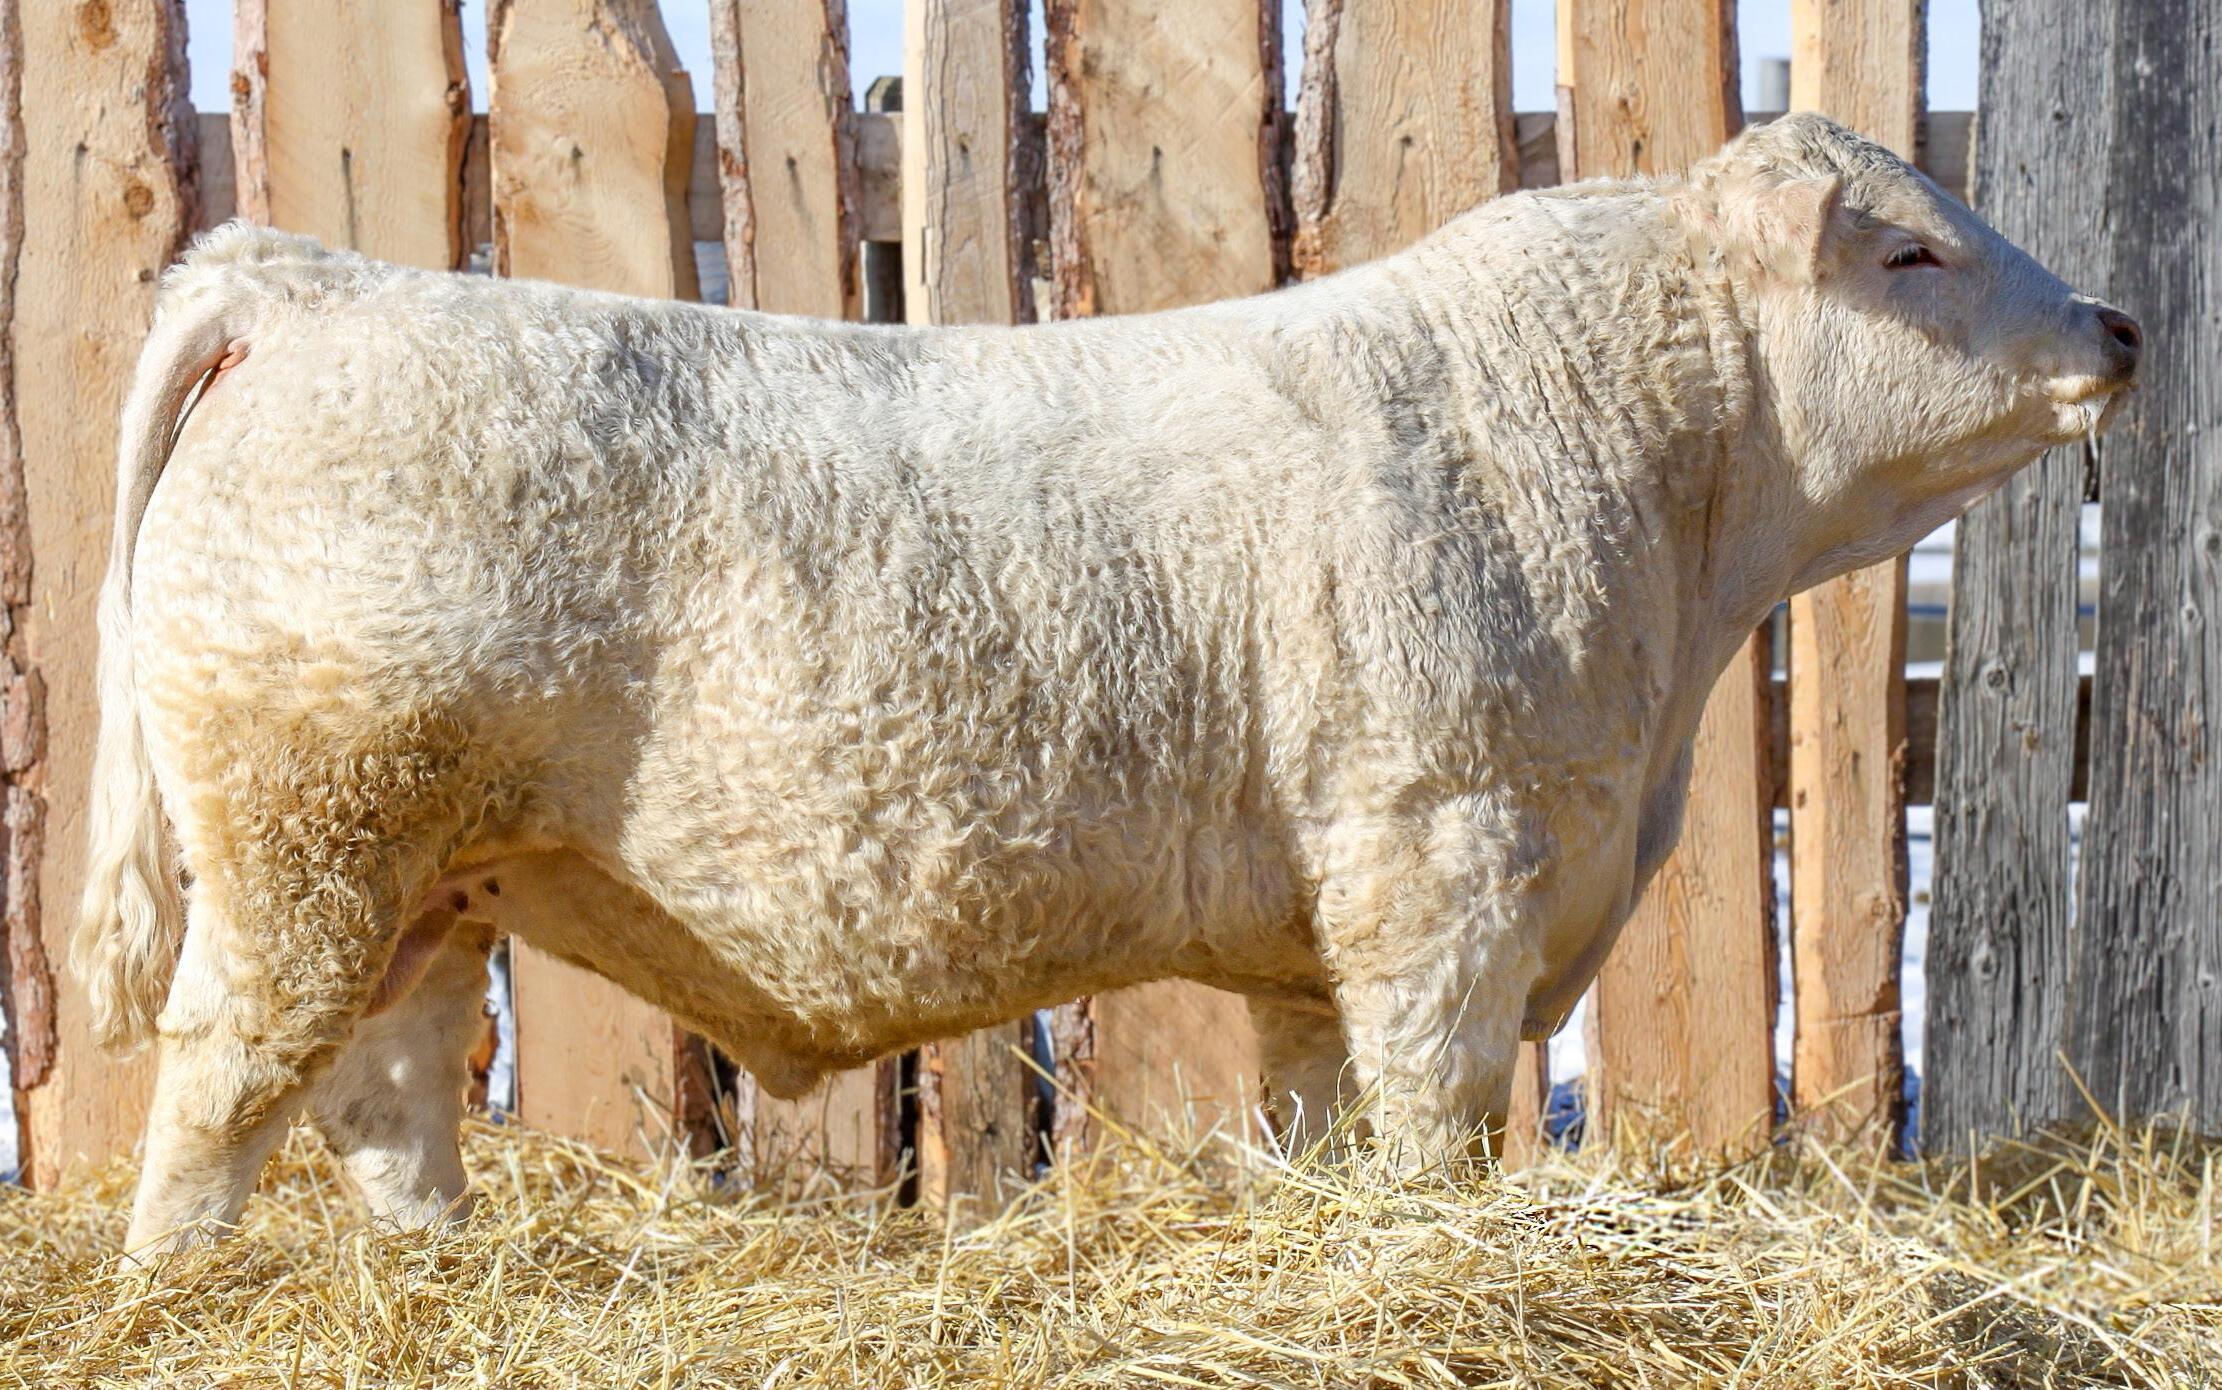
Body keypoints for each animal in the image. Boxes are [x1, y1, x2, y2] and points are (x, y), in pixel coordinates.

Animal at [74, 114, 2140, 1254]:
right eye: (1912, 248)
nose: (2117, 323)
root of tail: (310, 280)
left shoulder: (1329, 924)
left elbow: (1323, 1105)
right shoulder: (1441, 852)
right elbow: (1435, 1097)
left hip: (435, 871)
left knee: (387, 1082)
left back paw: (438, 1265)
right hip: (315, 829)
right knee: (225, 1069)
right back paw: (180, 1286)